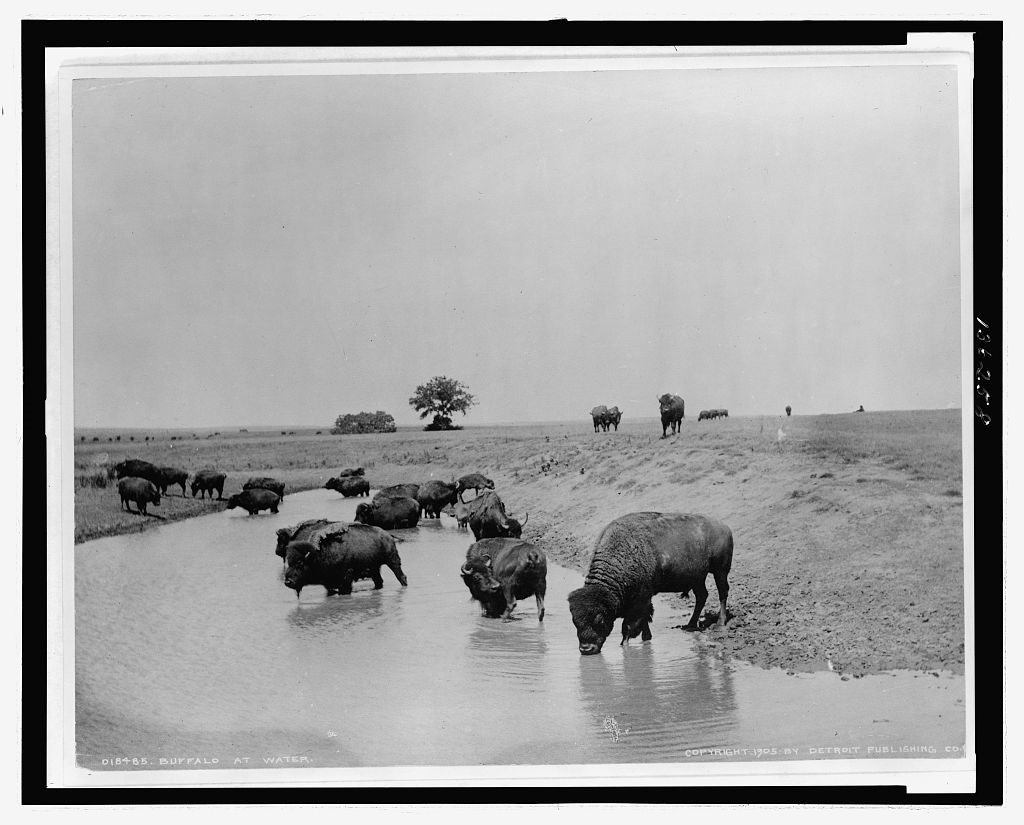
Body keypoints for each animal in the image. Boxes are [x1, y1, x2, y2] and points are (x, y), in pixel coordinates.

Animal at [567, 512, 733, 655]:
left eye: (600, 619)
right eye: (574, 621)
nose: (586, 649)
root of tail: (724, 527)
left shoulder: (640, 600)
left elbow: (629, 626)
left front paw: (624, 646)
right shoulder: (642, 601)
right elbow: (644, 620)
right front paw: (646, 638)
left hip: (720, 570)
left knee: (722, 593)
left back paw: (720, 624)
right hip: (698, 579)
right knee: (702, 596)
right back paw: (690, 625)